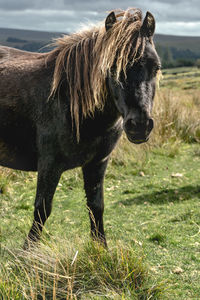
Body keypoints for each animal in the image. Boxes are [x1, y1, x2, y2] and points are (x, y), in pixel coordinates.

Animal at [0, 8, 161, 248]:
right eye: (112, 67)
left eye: (156, 67)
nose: (140, 125)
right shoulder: (49, 164)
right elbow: (42, 208)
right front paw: (28, 252)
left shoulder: (98, 163)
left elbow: (96, 206)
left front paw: (101, 249)